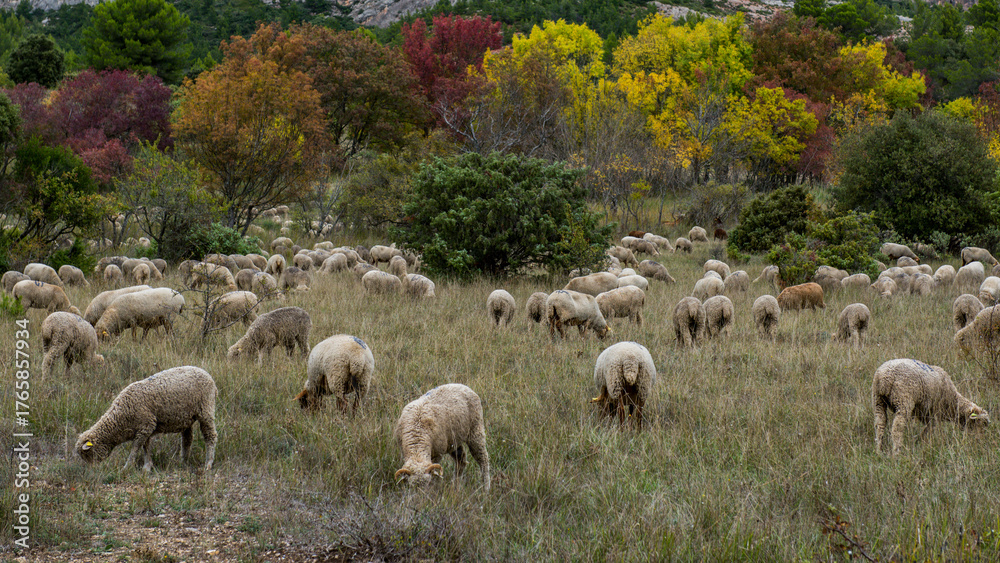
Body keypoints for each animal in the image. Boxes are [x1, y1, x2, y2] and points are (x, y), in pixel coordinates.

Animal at [76, 366, 218, 472]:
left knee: (210, 436)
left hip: (206, 408)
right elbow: (146, 447)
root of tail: (208, 375)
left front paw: (127, 467)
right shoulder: (146, 427)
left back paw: (208, 463)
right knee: (187, 439)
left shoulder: (146, 425)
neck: (120, 418)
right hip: (187, 417)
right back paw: (183, 460)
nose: (93, 470)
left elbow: (136, 448)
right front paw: (147, 466)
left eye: (88, 454)